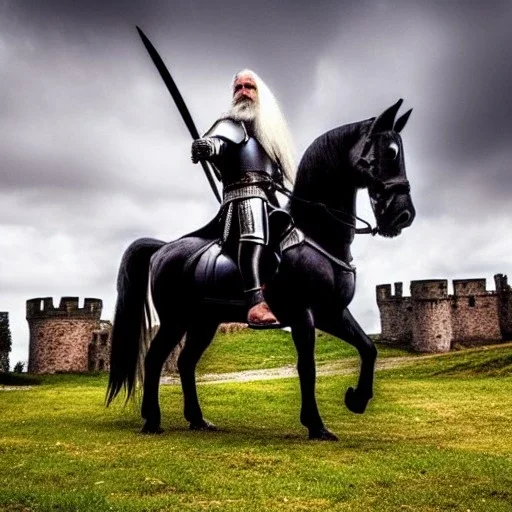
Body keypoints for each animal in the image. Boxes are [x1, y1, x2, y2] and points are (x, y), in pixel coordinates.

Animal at [107, 99, 416, 440]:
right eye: (390, 152)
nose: (403, 215)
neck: (318, 234)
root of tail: (164, 248)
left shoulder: (331, 313)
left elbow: (368, 348)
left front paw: (357, 399)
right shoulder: (303, 315)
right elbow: (307, 367)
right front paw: (316, 424)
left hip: (203, 321)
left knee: (186, 363)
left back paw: (198, 419)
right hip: (176, 319)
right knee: (154, 359)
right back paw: (152, 420)